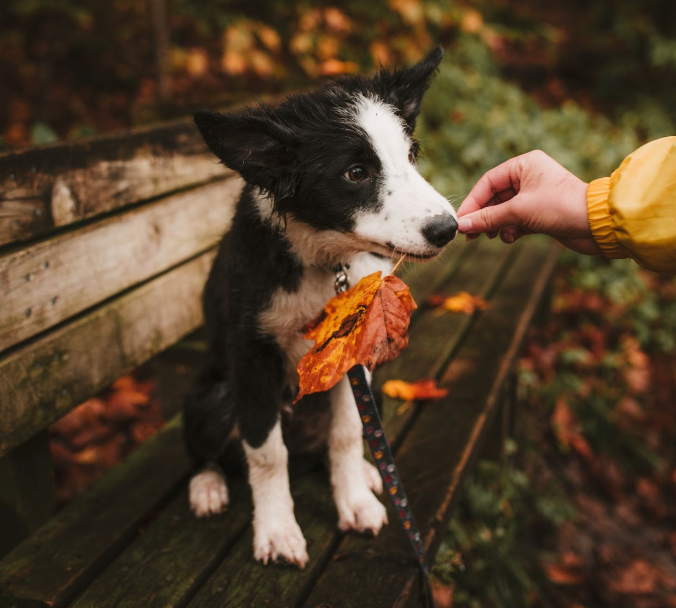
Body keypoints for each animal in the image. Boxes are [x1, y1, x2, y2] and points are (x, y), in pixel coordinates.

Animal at [186, 45, 460, 568]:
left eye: (410, 156)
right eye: (356, 173)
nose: (447, 229)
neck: (323, 262)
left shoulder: (355, 353)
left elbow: (349, 432)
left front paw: (354, 502)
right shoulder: (251, 356)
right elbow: (266, 452)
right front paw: (277, 532)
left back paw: (369, 475)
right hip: (212, 395)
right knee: (205, 450)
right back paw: (207, 487)